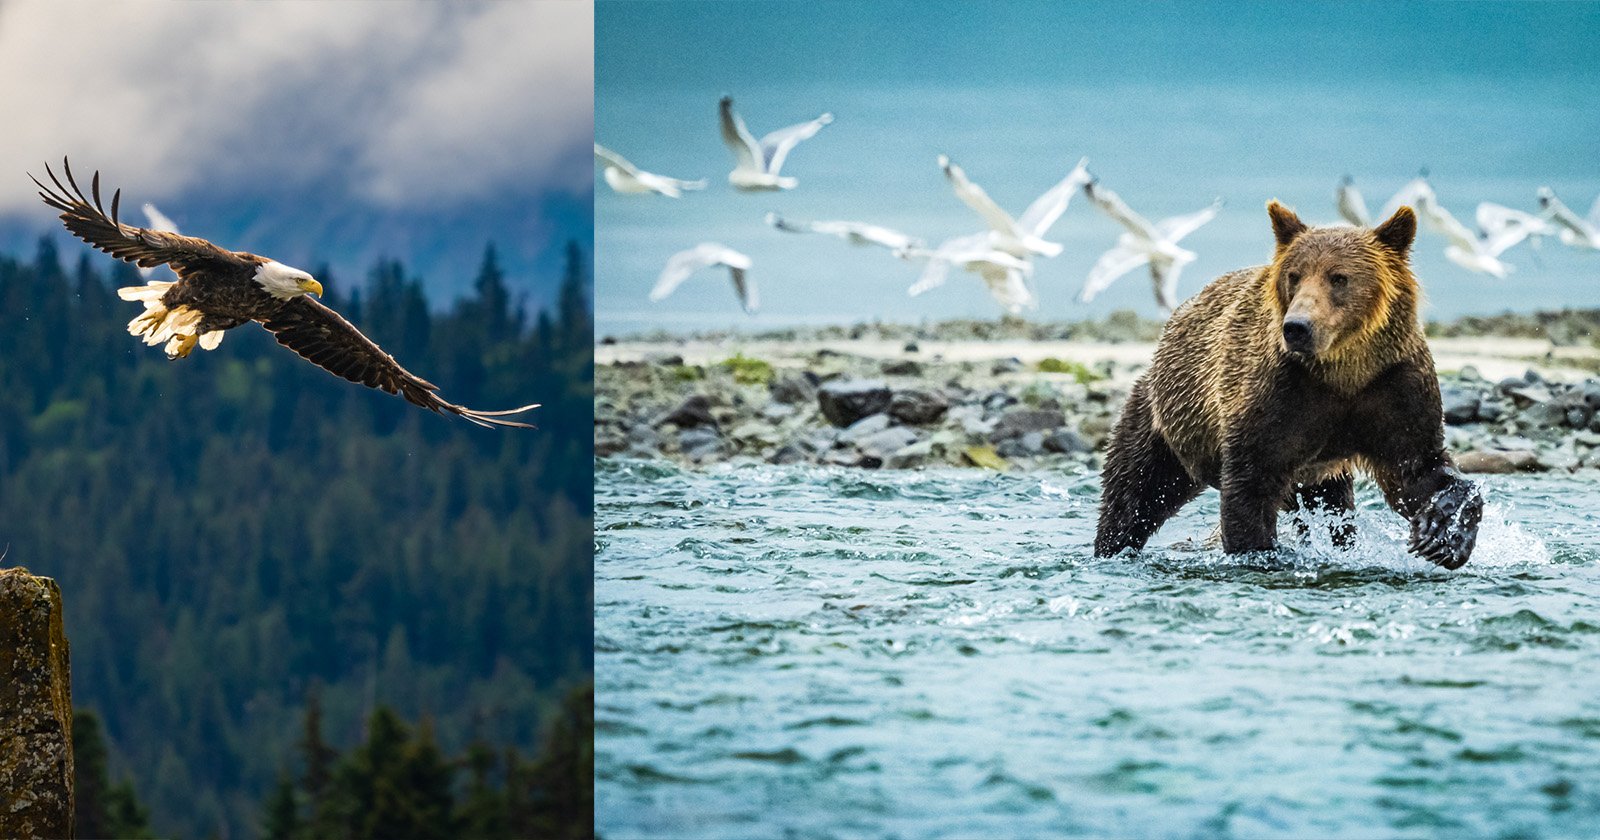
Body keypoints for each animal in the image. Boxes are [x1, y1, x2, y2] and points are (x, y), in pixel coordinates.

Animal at [1094, 201, 1478, 569]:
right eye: (1295, 275)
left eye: (1339, 277)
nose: (1297, 326)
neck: (1343, 371)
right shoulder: (1279, 395)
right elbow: (1252, 483)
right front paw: (1258, 552)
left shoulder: (1392, 385)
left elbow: (1419, 468)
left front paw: (1443, 534)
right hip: (1166, 419)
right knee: (1136, 492)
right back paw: (1113, 546)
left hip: (1320, 472)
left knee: (1333, 507)